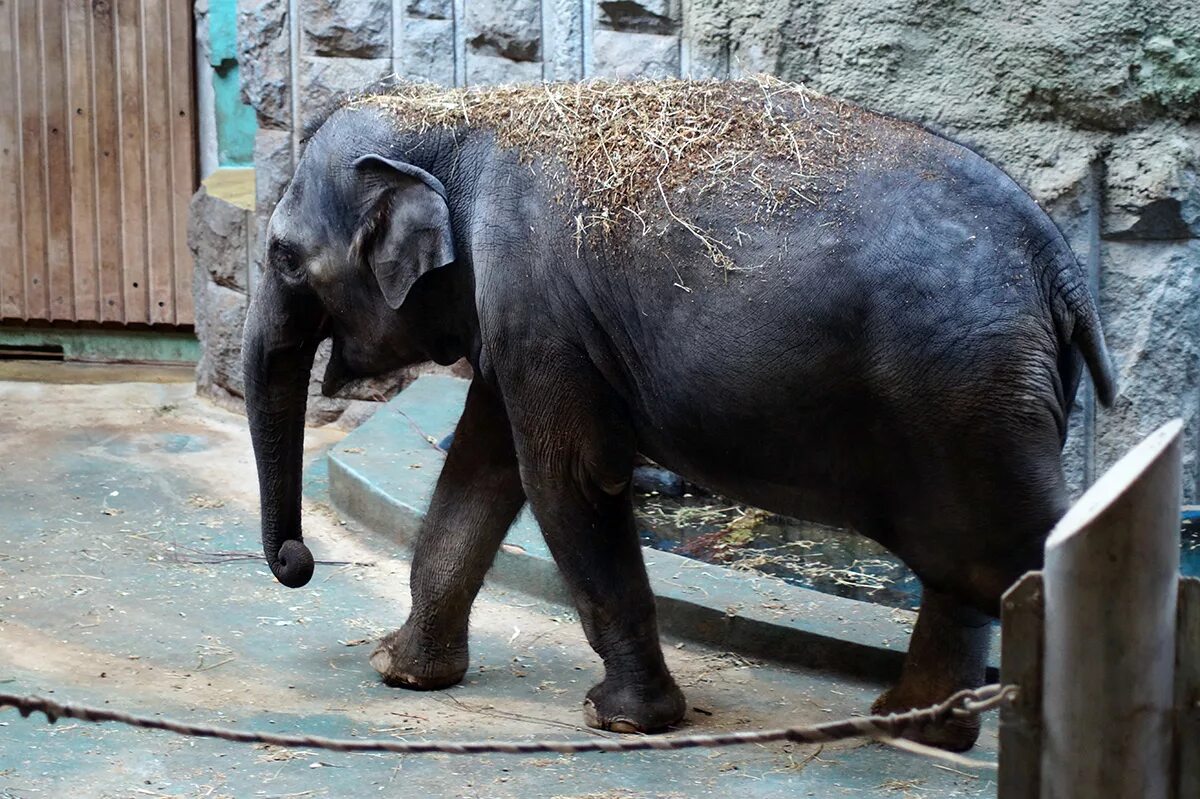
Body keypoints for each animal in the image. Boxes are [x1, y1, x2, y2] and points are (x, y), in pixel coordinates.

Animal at [243, 77, 1113, 748]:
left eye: (284, 257)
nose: (295, 561)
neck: (460, 115)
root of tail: (1059, 262)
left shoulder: (539, 311)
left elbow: (566, 482)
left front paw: (623, 720)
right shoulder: (521, 326)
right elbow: (482, 472)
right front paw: (398, 669)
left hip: (962, 388)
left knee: (1010, 542)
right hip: (978, 402)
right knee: (967, 556)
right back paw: (912, 726)